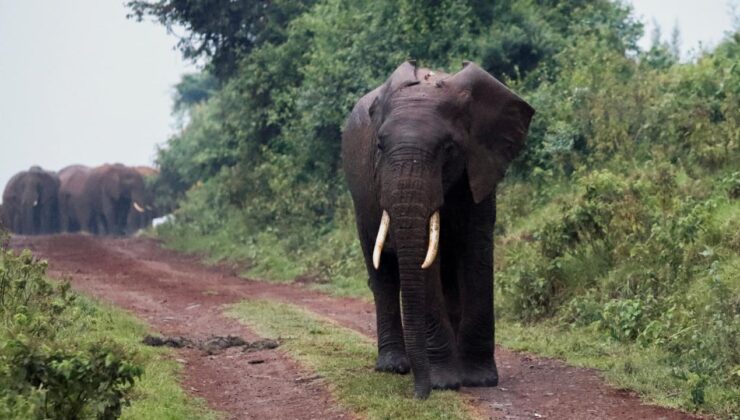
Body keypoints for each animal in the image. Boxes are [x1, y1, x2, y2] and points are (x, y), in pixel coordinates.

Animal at [342, 60, 532, 398]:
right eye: (379, 145)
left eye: (448, 148)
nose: (420, 395)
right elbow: (424, 264)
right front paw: (445, 382)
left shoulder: (480, 164)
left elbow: (477, 251)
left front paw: (479, 380)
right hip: (360, 198)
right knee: (382, 273)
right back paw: (394, 366)